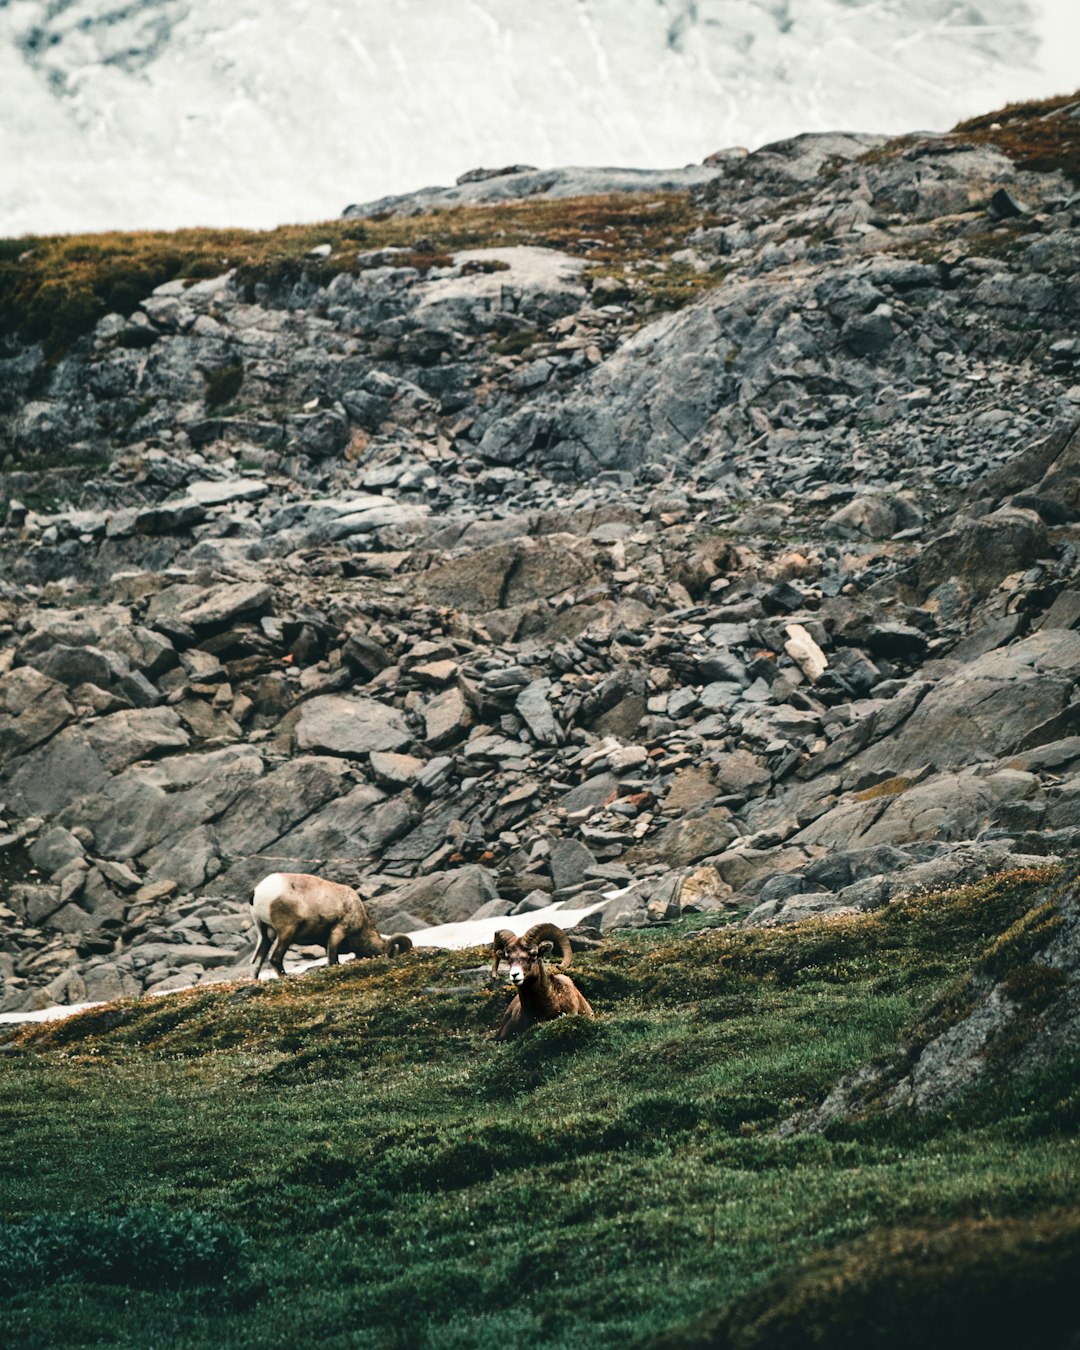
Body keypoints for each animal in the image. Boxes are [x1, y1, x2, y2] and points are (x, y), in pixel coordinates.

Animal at [251, 869, 410, 977]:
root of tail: (257, 891)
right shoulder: (338, 931)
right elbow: (333, 958)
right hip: (286, 932)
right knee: (275, 959)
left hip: (265, 935)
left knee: (256, 963)